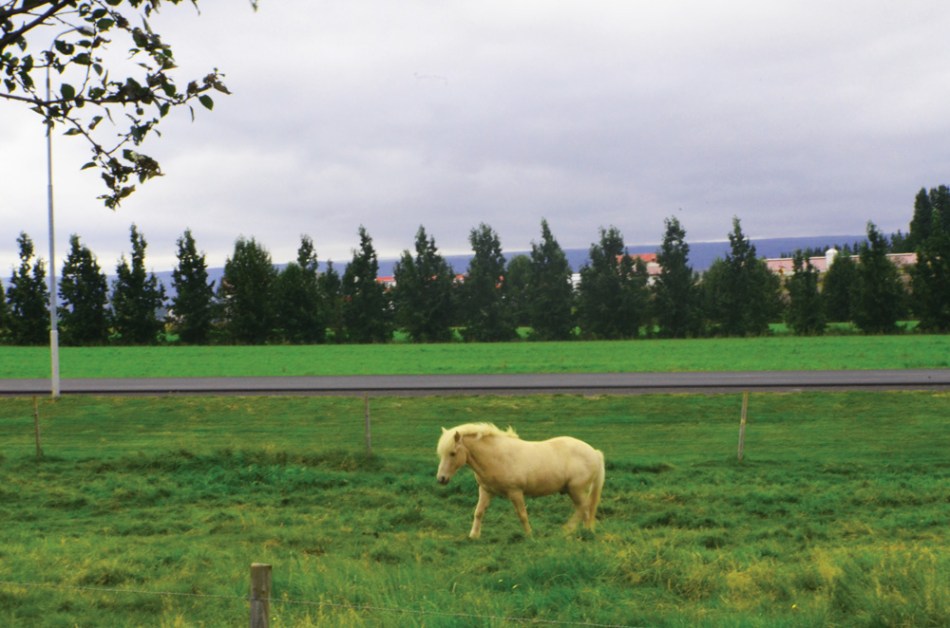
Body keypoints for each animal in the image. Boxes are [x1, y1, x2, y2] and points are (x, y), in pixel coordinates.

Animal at [436, 423, 605, 539]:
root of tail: (594, 452)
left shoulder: (515, 492)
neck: (496, 456)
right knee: (585, 510)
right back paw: (586, 531)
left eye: (452, 453)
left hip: (576, 490)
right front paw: (473, 535)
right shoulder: (485, 490)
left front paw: (529, 535)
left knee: (583, 507)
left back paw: (568, 530)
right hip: (575, 491)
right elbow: (479, 512)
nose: (441, 479)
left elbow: (522, 514)